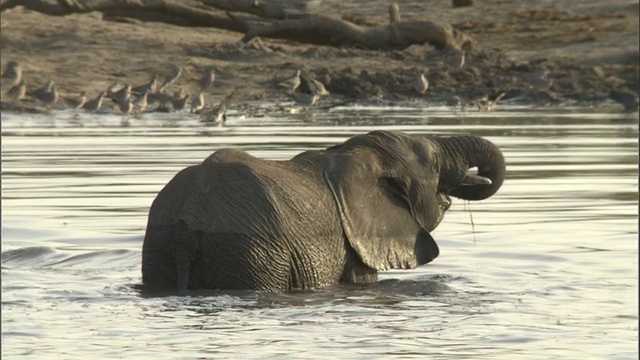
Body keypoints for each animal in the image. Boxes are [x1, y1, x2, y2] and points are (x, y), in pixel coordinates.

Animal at [140, 129, 504, 292]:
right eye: (432, 161)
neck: (346, 152)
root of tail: (189, 217)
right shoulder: (355, 236)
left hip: (161, 245)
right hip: (252, 252)